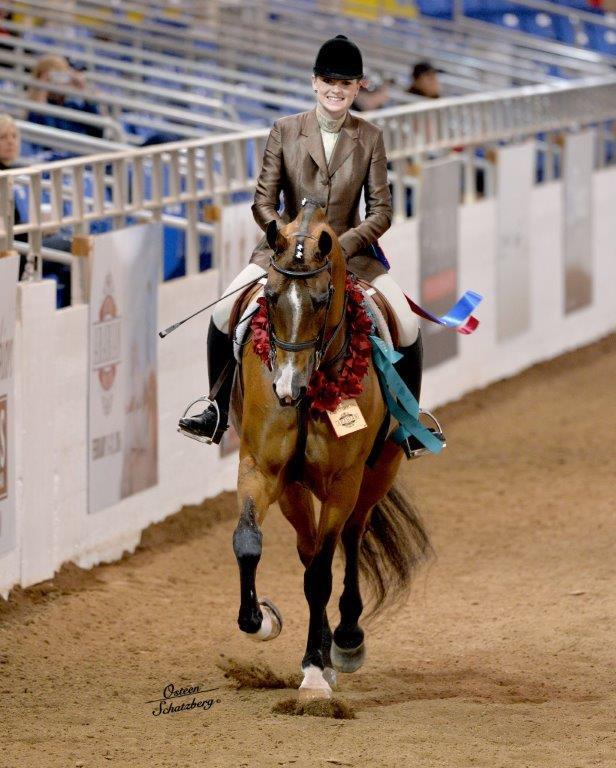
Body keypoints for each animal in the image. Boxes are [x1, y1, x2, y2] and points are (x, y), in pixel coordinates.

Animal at [228, 198, 431, 701]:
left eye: (321, 301)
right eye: (271, 297)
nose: (287, 388)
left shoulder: (344, 481)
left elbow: (322, 571)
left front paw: (318, 670)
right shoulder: (262, 470)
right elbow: (248, 543)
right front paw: (263, 621)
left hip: (377, 473)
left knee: (350, 538)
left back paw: (345, 640)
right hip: (295, 490)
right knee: (308, 548)